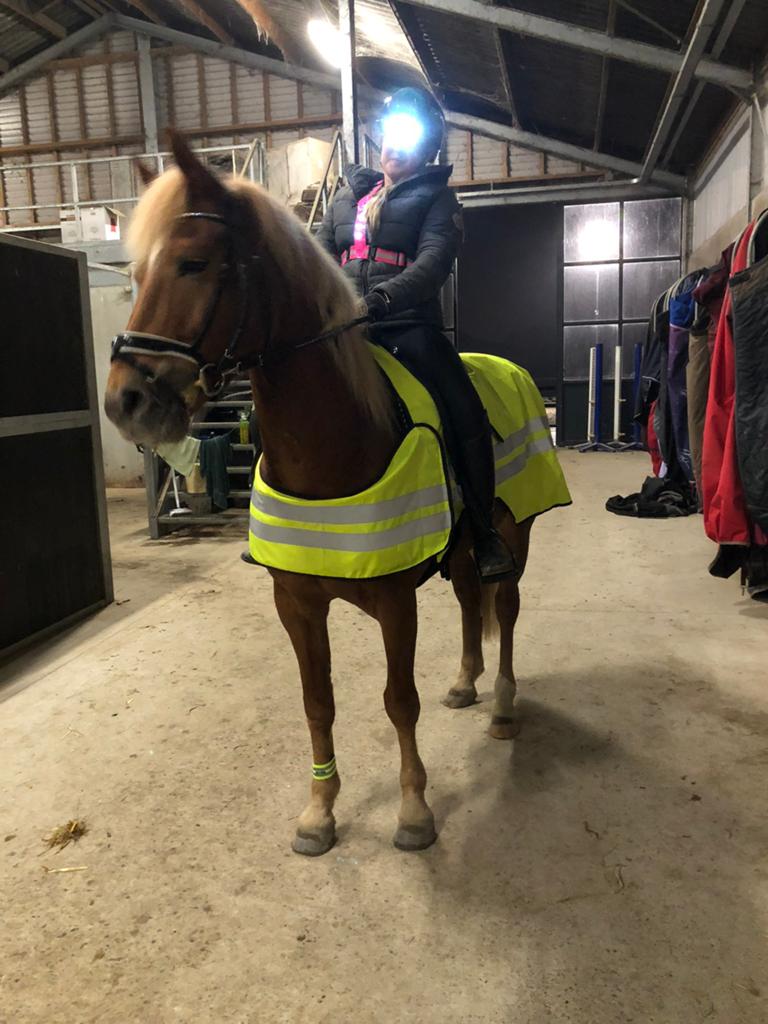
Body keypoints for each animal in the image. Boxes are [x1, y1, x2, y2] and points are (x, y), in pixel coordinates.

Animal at [104, 133, 565, 856]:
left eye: (193, 262)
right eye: (137, 270)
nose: (126, 402)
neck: (333, 445)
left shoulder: (396, 602)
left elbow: (398, 700)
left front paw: (414, 811)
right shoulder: (295, 604)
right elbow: (316, 702)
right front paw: (319, 810)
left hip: (512, 537)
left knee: (507, 610)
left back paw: (502, 706)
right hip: (465, 544)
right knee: (470, 600)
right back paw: (465, 682)